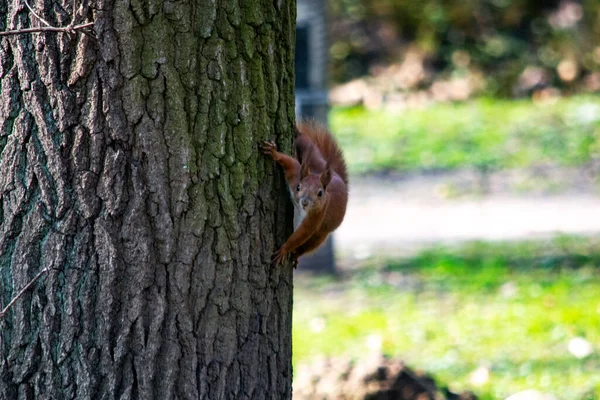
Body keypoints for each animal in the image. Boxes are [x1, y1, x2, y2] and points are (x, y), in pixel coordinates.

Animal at [262, 122, 346, 266]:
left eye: (320, 193)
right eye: (298, 187)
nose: (305, 202)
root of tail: (337, 177)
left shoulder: (317, 214)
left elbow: (302, 233)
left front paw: (284, 249)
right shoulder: (296, 174)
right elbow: (290, 162)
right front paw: (274, 153)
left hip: (320, 234)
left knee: (308, 245)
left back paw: (296, 254)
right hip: (311, 156)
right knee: (305, 142)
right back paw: (297, 132)